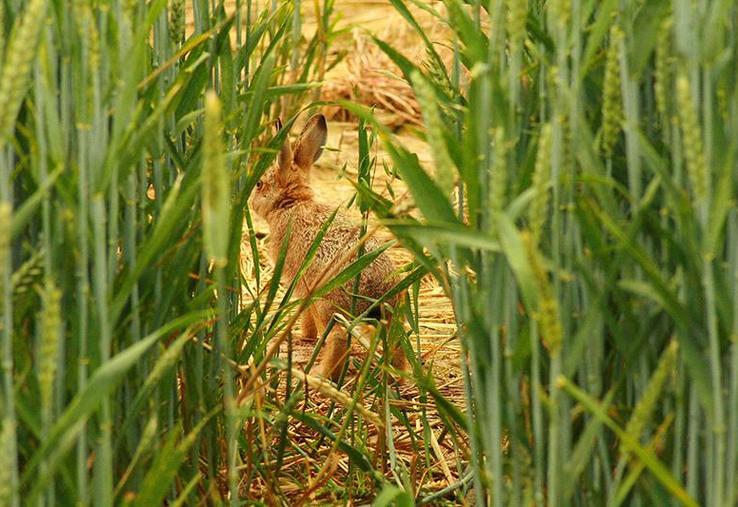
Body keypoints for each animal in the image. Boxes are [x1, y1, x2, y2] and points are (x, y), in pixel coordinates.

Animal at [250, 113, 408, 381]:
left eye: (259, 183)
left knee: (338, 338)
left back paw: (321, 376)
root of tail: (377, 290)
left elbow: (306, 316)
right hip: (389, 315)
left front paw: (303, 337)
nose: (250, 201)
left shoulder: (300, 285)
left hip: (328, 305)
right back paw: (396, 375)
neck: (293, 203)